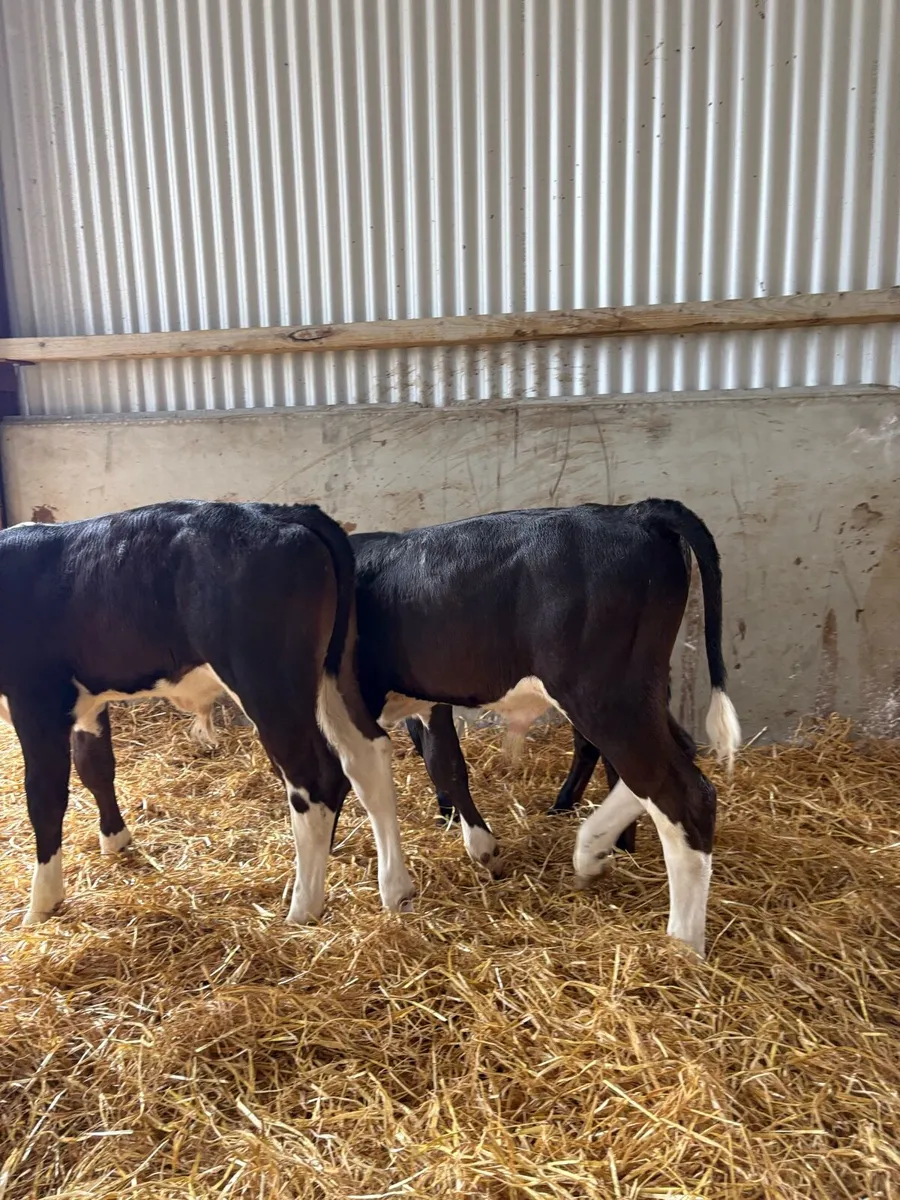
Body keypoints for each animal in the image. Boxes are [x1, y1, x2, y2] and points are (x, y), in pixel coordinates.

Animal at [0, 502, 414, 927]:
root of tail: (285, 513)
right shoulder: (87, 701)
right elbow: (96, 768)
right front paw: (115, 840)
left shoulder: (36, 700)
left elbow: (45, 796)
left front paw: (41, 905)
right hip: (336, 670)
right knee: (367, 756)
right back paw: (396, 890)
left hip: (268, 685)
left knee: (315, 780)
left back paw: (302, 910)